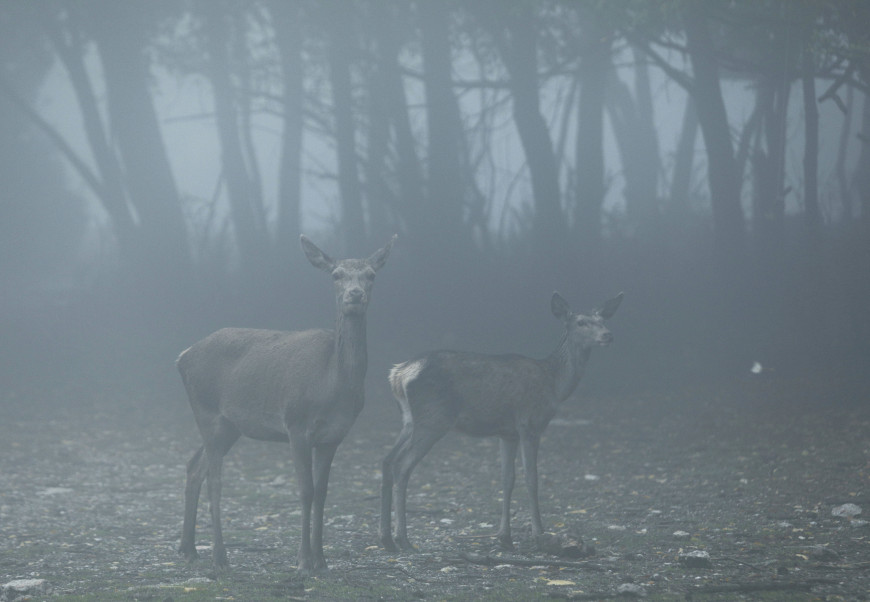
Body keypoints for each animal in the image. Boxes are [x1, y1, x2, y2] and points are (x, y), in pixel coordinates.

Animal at [179, 233, 396, 572]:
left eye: (371, 274)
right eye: (336, 275)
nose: (355, 294)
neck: (332, 384)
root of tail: (183, 356)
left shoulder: (334, 436)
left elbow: (322, 492)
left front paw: (321, 559)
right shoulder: (296, 424)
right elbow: (305, 490)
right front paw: (304, 560)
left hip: (229, 425)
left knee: (194, 467)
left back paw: (188, 549)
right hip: (207, 411)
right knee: (214, 479)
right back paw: (219, 556)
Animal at [380, 288, 620, 552]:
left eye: (603, 320)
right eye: (581, 322)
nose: (608, 335)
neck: (554, 383)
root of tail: (398, 374)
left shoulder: (507, 433)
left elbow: (507, 479)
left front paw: (505, 536)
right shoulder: (529, 423)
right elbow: (531, 478)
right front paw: (539, 533)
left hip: (409, 420)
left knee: (387, 460)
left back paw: (387, 539)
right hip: (433, 419)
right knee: (402, 465)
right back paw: (403, 539)